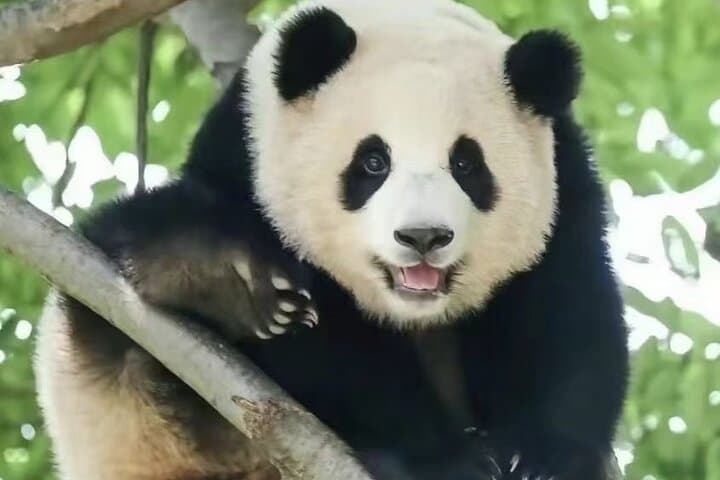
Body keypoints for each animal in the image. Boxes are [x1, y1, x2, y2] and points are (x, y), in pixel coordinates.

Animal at [34, 0, 629, 478]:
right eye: (373, 162)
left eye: (466, 164)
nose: (423, 236)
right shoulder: (246, 158)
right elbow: (332, 360)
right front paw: (447, 460)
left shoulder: (565, 189)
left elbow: (569, 319)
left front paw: (544, 458)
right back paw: (219, 278)